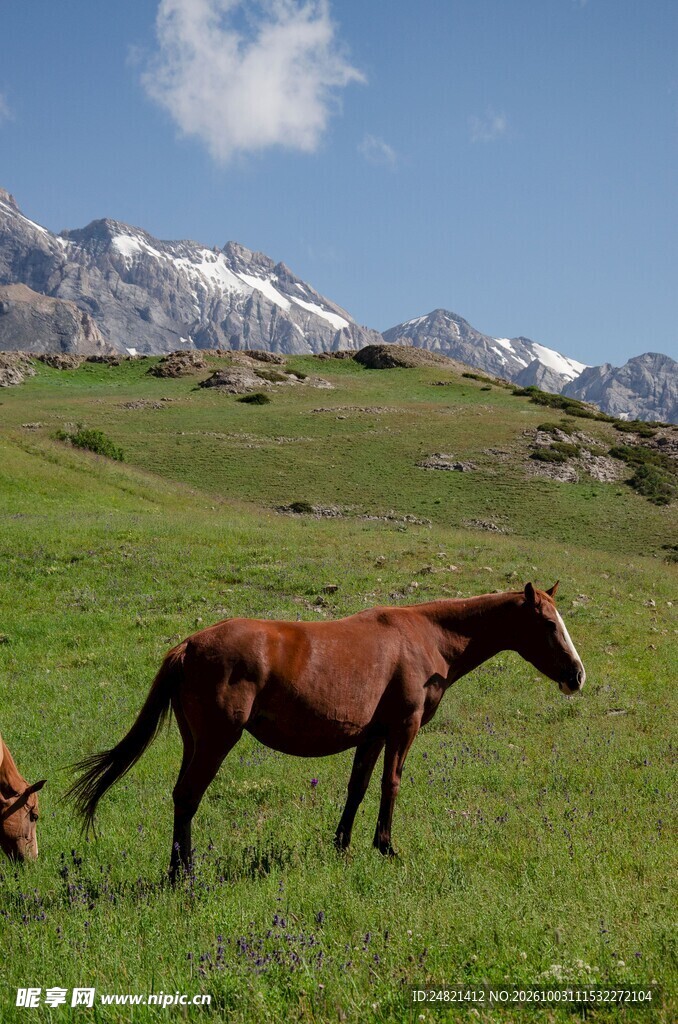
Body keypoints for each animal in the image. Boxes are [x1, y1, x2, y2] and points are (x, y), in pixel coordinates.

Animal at [69, 582, 585, 879]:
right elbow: (390, 785)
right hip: (216, 742)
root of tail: (189, 645)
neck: (426, 637)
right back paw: (186, 874)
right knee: (189, 797)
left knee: (180, 794)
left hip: (193, 741)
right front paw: (386, 847)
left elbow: (358, 788)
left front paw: (342, 845)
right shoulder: (403, 728)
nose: (577, 675)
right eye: (547, 622)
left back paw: (178, 869)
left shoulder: (373, 735)